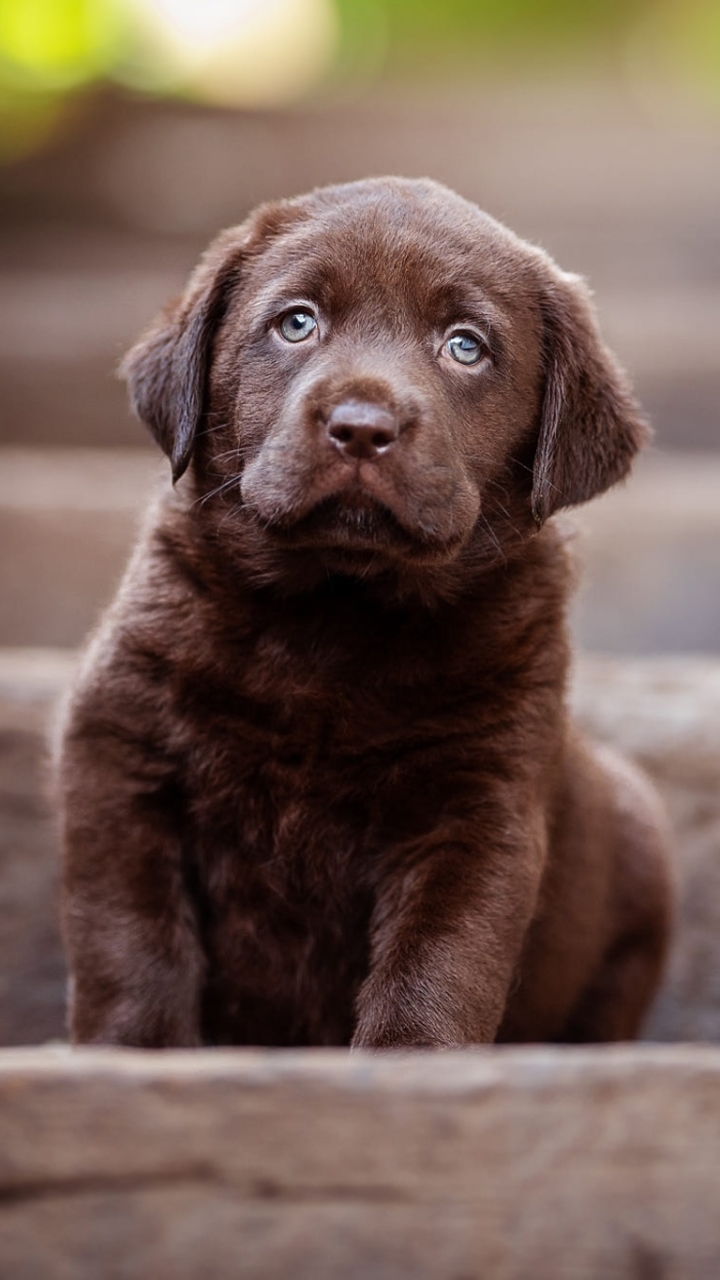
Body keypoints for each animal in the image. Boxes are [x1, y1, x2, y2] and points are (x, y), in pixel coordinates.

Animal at [57, 175, 671, 1044]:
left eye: (465, 345)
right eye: (297, 322)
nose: (362, 427)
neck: (335, 612)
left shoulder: (477, 806)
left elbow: (441, 960)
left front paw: (410, 1058)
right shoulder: (118, 753)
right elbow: (129, 939)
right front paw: (136, 1053)